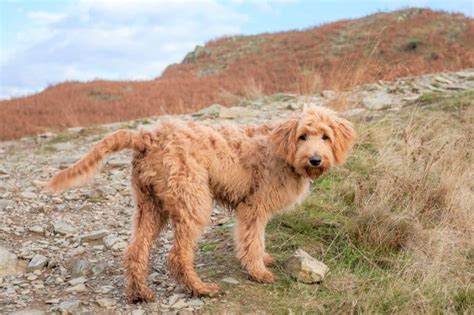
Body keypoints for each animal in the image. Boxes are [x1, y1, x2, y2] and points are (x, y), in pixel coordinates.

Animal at [42, 106, 356, 304]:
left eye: (325, 136)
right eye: (303, 135)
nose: (315, 159)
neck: (281, 150)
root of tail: (148, 137)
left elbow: (256, 239)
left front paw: (263, 259)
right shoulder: (253, 207)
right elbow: (252, 240)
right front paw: (259, 271)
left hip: (149, 205)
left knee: (136, 251)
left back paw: (139, 293)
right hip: (192, 200)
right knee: (178, 255)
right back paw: (200, 289)